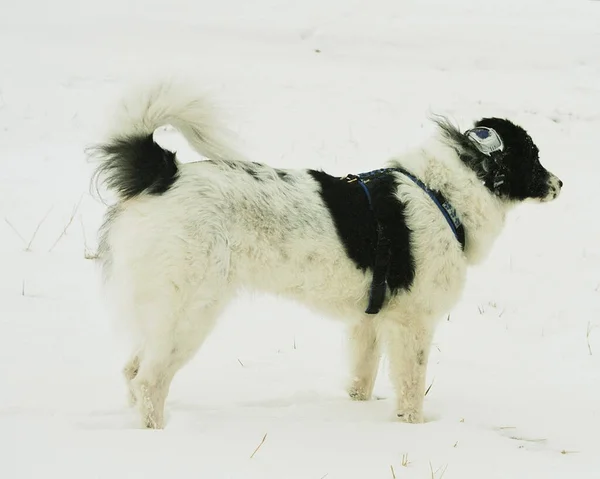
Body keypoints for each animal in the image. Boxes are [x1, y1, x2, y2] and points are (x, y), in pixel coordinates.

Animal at [90, 83, 564, 432]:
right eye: (534, 157)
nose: (561, 184)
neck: (443, 194)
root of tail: (163, 174)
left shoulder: (368, 321)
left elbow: (362, 378)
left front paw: (357, 411)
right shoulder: (413, 322)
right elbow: (411, 385)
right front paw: (413, 427)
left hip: (164, 311)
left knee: (132, 371)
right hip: (191, 311)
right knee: (149, 380)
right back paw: (158, 433)